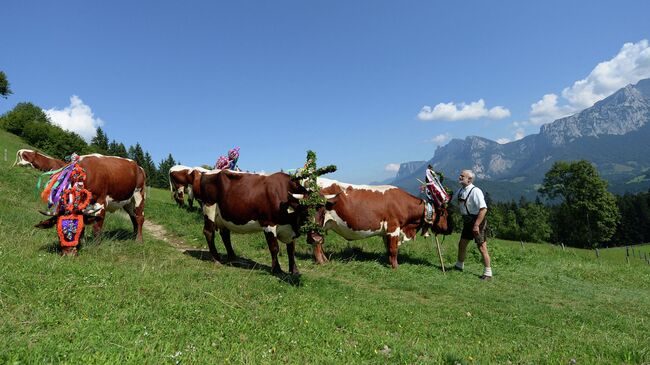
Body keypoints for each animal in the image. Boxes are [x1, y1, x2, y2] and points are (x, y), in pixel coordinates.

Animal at [314, 178, 450, 268]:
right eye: (444, 214)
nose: (447, 229)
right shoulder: (393, 227)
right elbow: (394, 249)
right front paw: (395, 267)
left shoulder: (386, 232)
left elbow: (389, 249)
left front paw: (390, 263)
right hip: (317, 222)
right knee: (316, 241)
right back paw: (321, 262)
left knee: (320, 242)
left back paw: (325, 260)